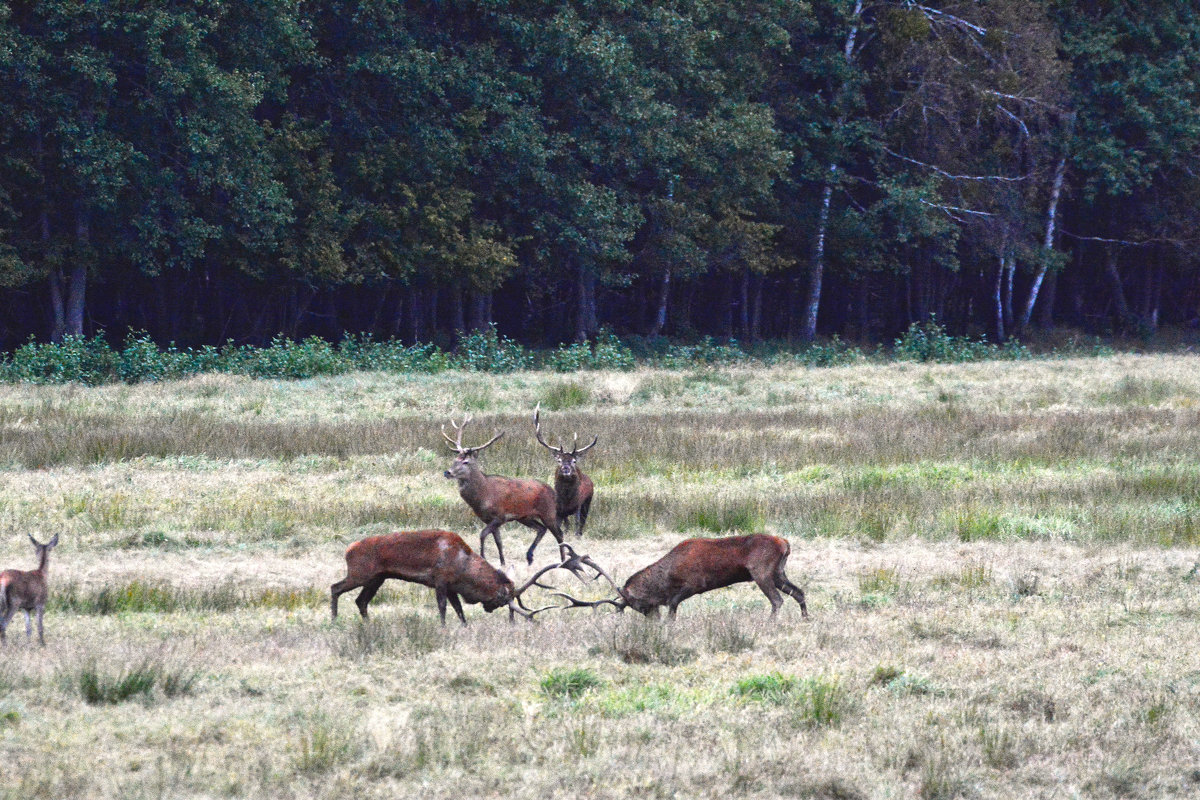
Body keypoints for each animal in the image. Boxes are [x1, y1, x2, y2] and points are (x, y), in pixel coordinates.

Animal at [331, 527, 588, 628]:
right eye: (501, 600)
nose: (489, 609)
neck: (462, 566)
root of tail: (348, 550)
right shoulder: (440, 581)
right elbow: (443, 607)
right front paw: (443, 627)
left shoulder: (452, 586)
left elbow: (459, 609)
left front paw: (463, 626)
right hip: (360, 573)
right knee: (335, 587)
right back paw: (334, 620)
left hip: (377, 578)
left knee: (361, 601)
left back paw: (368, 624)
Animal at [444, 417, 568, 566]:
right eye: (454, 460)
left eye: (465, 462)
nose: (447, 472)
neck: (483, 495)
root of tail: (553, 492)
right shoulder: (488, 519)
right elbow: (499, 542)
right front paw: (502, 563)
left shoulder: (500, 516)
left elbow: (482, 534)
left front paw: (483, 557)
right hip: (525, 517)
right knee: (541, 529)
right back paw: (530, 557)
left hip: (548, 512)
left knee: (559, 534)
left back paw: (563, 560)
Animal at [535, 402, 595, 542]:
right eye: (559, 460)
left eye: (574, 461)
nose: (565, 468)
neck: (567, 499)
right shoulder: (558, 510)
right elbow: (560, 526)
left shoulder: (578, 505)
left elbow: (577, 523)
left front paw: (576, 536)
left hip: (588, 502)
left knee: (582, 522)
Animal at [556, 534, 811, 623]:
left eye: (637, 605)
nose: (652, 621)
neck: (669, 575)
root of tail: (784, 543)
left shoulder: (695, 584)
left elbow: (672, 605)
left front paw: (668, 624)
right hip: (778, 572)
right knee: (799, 592)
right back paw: (806, 618)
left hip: (761, 572)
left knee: (777, 600)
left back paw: (770, 623)